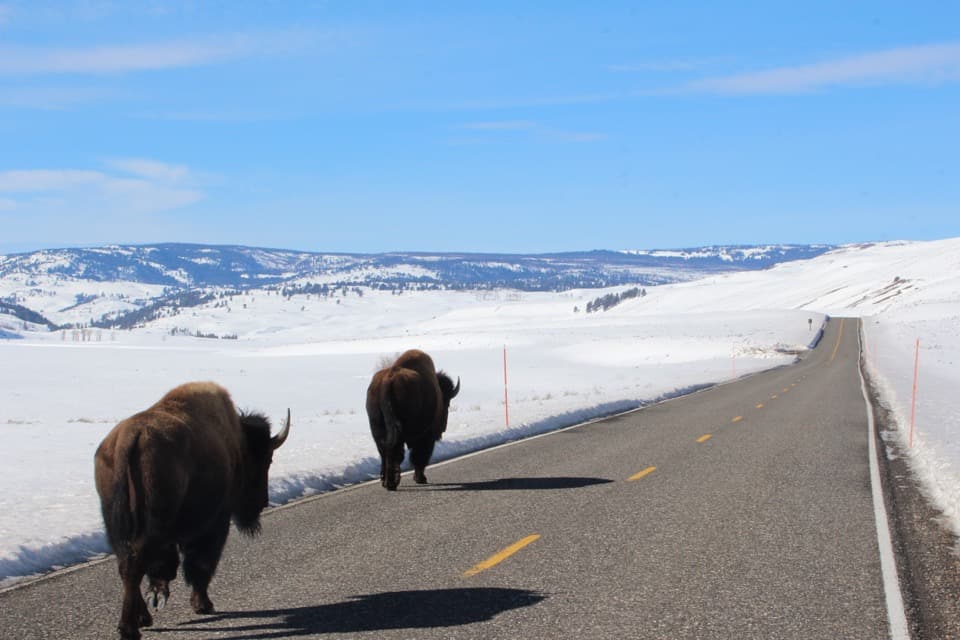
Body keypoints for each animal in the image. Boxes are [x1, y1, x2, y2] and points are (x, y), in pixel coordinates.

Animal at [94, 382, 290, 636]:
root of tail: (131, 437)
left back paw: (143, 618)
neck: (236, 443)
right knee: (136, 565)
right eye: (266, 460)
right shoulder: (215, 524)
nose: (263, 502)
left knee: (128, 566)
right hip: (154, 524)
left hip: (117, 525)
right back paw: (130, 628)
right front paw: (203, 605)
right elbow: (201, 564)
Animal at [366, 350, 460, 490]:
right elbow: (419, 457)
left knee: (384, 452)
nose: (443, 428)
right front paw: (421, 478)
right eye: (447, 403)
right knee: (396, 453)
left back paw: (385, 481)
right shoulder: (426, 437)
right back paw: (392, 483)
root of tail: (388, 381)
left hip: (378, 430)